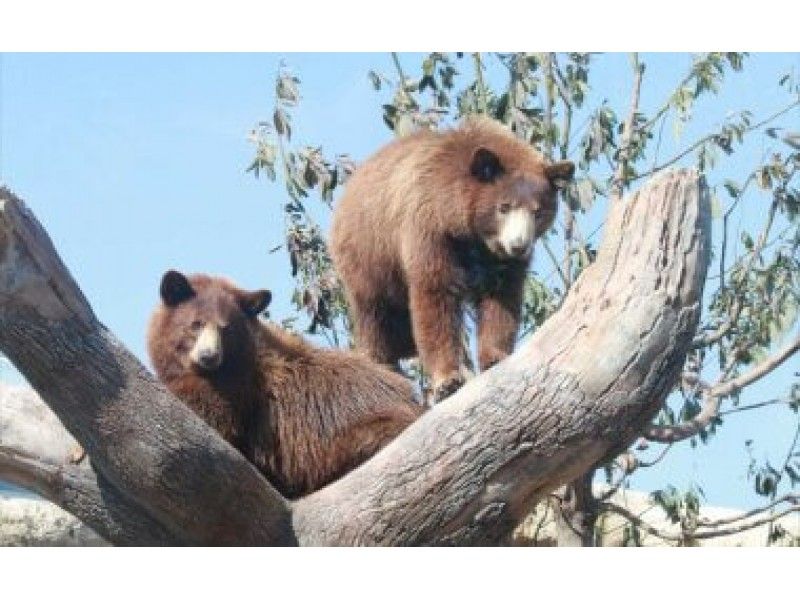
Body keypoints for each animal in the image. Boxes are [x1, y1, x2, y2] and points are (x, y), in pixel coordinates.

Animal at [330, 116, 576, 404]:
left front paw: (495, 356)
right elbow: (434, 295)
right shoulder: (429, 233)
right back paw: (383, 363)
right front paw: (447, 379)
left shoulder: (501, 263)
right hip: (367, 260)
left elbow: (502, 301)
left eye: (538, 212)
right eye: (504, 207)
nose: (518, 245)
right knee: (374, 316)